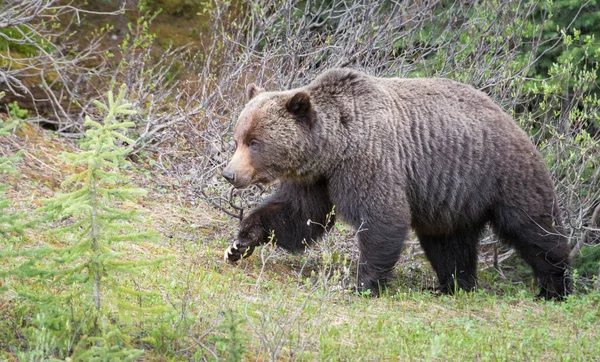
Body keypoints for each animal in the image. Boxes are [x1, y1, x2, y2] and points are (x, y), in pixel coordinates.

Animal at [221, 68, 572, 300]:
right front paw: (239, 242)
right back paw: (452, 285)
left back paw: (555, 287)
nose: (229, 174)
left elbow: (382, 216)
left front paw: (363, 284)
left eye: (255, 142)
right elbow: (297, 215)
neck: (335, 148)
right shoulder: (318, 178)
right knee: (448, 243)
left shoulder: (370, 160)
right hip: (451, 198)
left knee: (535, 229)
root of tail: (514, 120)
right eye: (238, 138)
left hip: (502, 175)